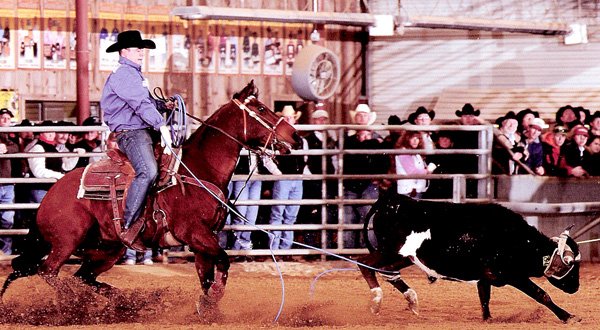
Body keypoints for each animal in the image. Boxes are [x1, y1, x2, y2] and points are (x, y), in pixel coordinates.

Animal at [0, 81, 300, 316]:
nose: (295, 136)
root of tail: (49, 197)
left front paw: (208, 310)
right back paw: (74, 303)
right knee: (48, 270)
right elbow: (224, 261)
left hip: (108, 248)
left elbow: (205, 275)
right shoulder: (196, 233)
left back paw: (122, 302)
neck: (198, 169)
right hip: (67, 240)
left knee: (81, 276)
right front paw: (213, 299)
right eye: (261, 109)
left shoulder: (202, 241)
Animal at [356, 192, 580, 324]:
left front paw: (487, 319)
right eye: (571, 266)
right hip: (390, 251)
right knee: (366, 264)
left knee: (388, 272)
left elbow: (484, 298)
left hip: (405, 257)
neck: (514, 239)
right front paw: (567, 316)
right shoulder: (513, 276)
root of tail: (391, 201)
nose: (575, 287)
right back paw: (376, 300)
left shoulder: (484, 277)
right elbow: (541, 294)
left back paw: (411, 299)